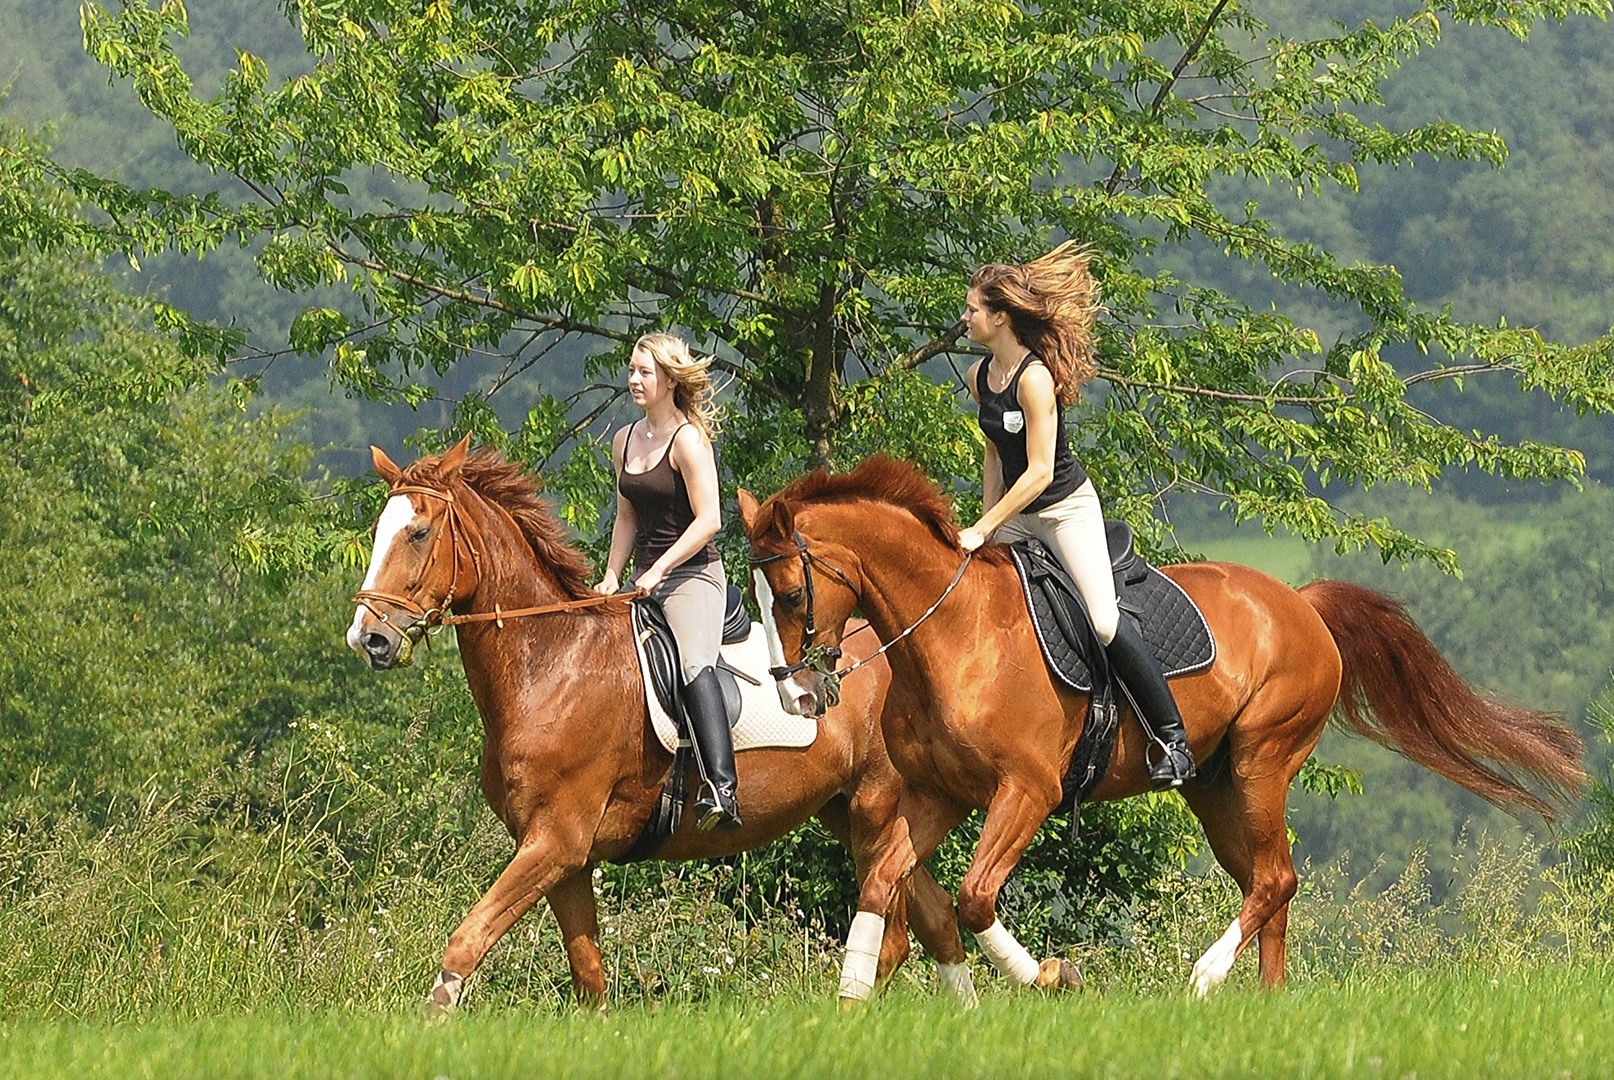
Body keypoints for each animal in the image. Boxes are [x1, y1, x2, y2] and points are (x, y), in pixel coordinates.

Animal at [343, 439, 968, 1013]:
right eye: (378, 530)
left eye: (418, 534)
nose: (368, 639)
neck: (551, 663)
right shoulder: (562, 859)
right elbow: (588, 975)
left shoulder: (555, 843)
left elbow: (466, 940)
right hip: (849, 814)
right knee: (935, 915)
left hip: (876, 809)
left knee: (895, 934)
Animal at [745, 452, 1588, 994]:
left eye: (790, 593)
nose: (795, 697)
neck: (952, 634)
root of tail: (1301, 602)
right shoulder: (937, 795)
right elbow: (886, 884)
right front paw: (851, 998)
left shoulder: (1027, 792)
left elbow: (975, 897)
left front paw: (1051, 974)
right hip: (1215, 789)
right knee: (1270, 886)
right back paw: (1266, 1007)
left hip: (1262, 760)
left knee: (1276, 879)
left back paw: (1207, 978)